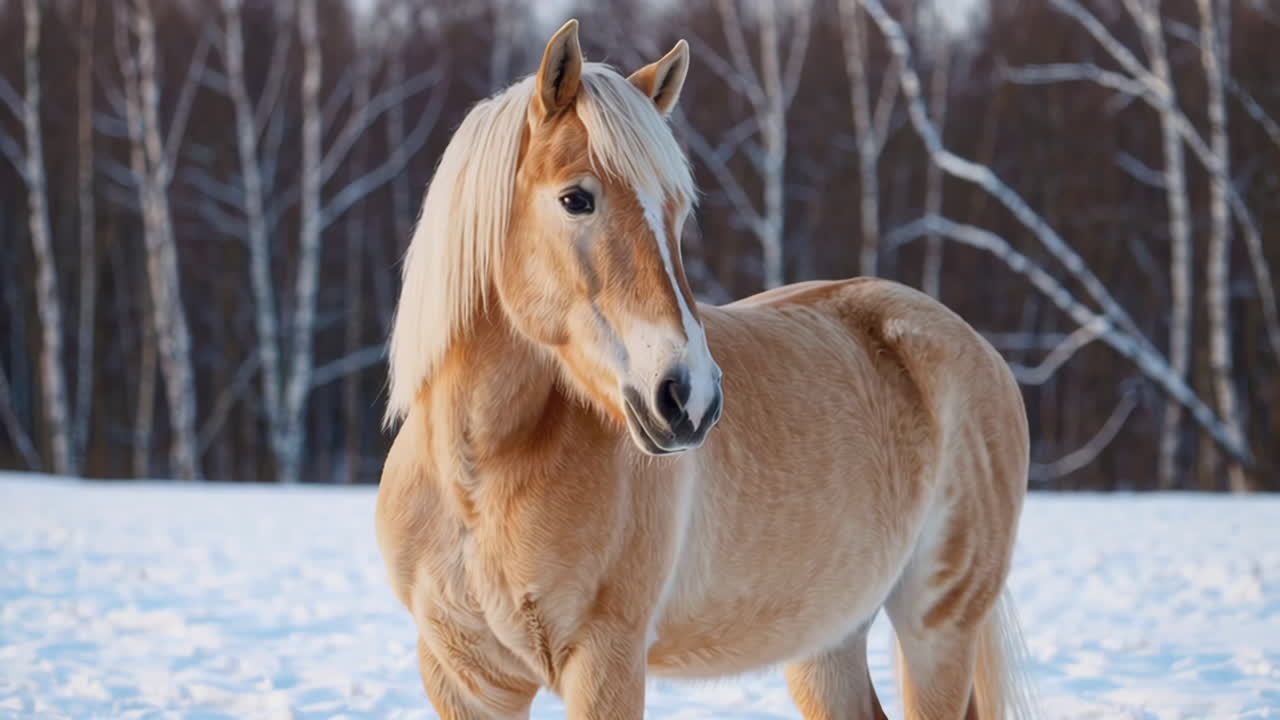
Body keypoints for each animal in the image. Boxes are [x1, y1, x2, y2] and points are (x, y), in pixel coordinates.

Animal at [375, 19, 1034, 720]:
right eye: (576, 198)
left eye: (677, 210)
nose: (689, 398)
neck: (477, 479)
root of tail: (974, 346)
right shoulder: (463, 678)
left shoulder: (606, 662)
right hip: (828, 639)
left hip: (938, 625)